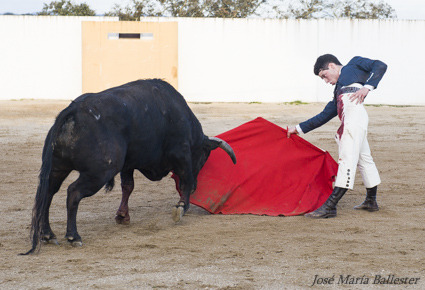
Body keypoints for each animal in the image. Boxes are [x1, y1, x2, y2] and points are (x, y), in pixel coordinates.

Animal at [22, 78, 235, 254]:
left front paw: (122, 216)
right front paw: (181, 207)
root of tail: (72, 111)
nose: (198, 187)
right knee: (73, 192)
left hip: (58, 167)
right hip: (99, 172)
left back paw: (48, 234)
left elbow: (128, 186)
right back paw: (74, 236)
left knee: (48, 192)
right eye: (203, 158)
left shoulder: (128, 164)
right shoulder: (181, 153)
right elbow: (186, 180)